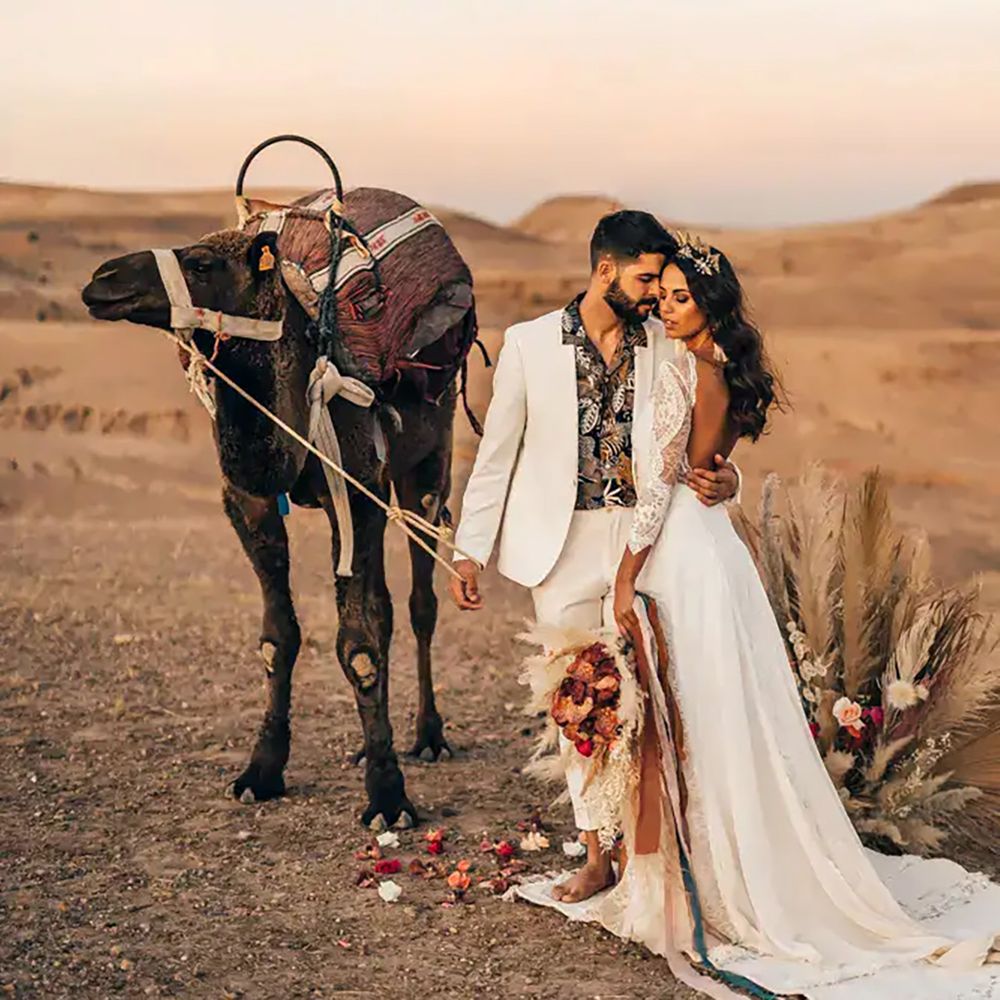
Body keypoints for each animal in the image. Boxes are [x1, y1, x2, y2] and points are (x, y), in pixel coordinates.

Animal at [80, 193, 478, 828]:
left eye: (201, 264)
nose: (103, 278)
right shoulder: (249, 499)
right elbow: (278, 637)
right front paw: (261, 771)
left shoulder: (355, 485)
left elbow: (358, 643)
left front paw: (388, 798)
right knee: (390, 607)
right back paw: (370, 742)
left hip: (426, 464)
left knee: (421, 601)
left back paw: (428, 736)